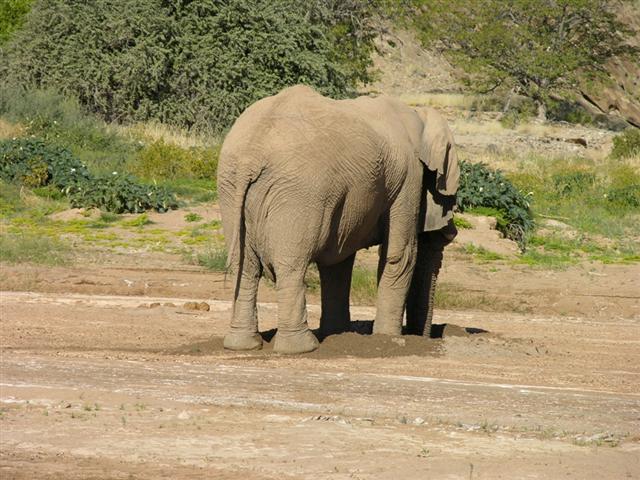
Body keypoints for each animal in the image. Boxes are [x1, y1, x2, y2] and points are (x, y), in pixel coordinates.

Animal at [218, 84, 458, 354]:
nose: (424, 337)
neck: (419, 116)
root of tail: (251, 155)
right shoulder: (407, 177)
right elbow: (400, 255)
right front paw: (387, 339)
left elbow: (338, 262)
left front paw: (338, 334)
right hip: (298, 193)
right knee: (290, 266)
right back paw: (301, 348)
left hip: (230, 186)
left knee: (245, 267)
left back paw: (242, 344)